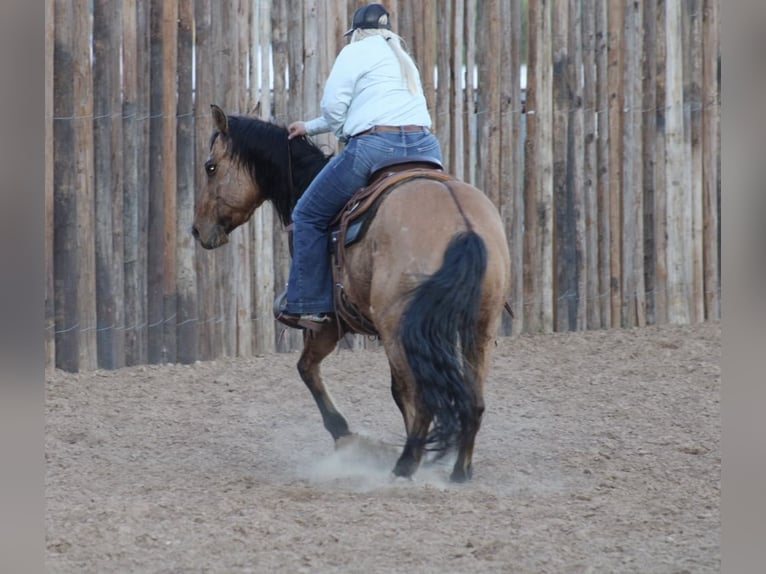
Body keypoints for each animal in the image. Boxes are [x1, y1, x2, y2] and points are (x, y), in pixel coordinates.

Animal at [192, 106, 510, 484]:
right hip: (480, 327)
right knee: (472, 401)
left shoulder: (328, 324)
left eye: (211, 166)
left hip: (400, 328)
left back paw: (403, 466)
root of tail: (463, 225)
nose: (197, 230)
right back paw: (459, 470)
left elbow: (309, 369)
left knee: (424, 396)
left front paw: (345, 434)